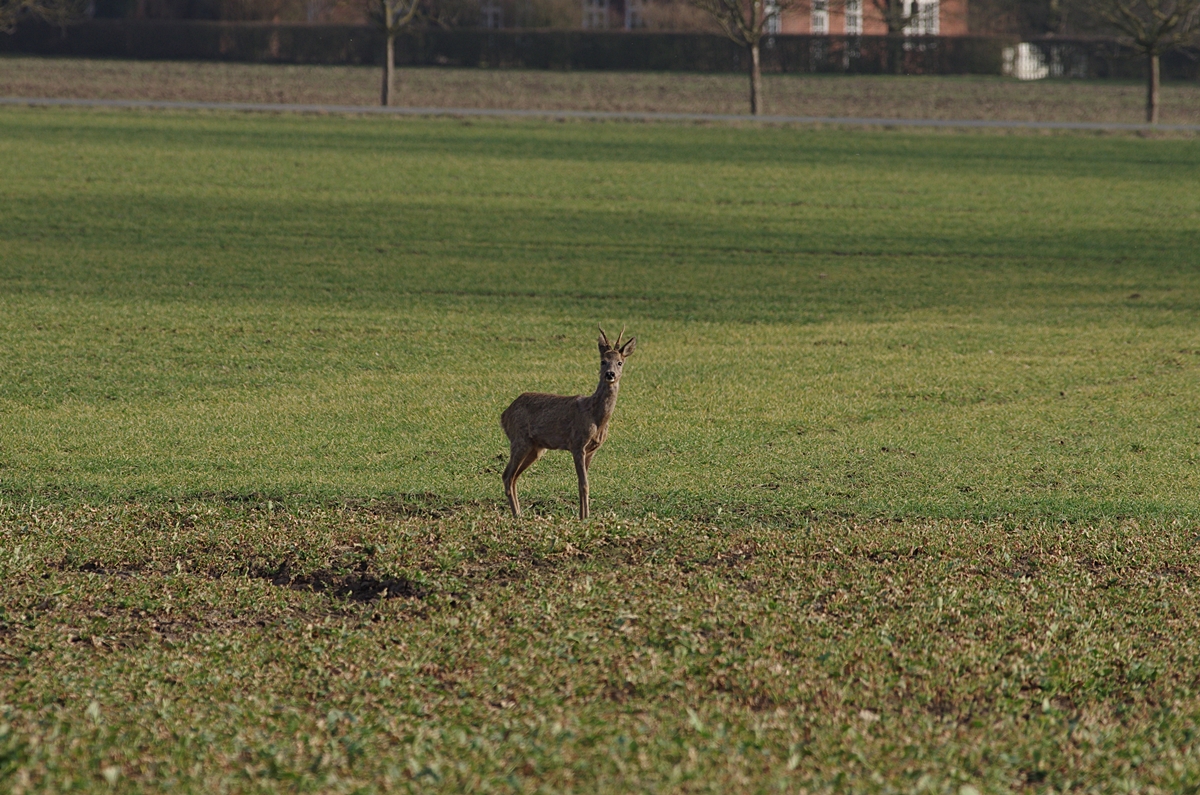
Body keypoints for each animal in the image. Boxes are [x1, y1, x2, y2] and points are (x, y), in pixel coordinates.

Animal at [501, 326, 638, 521]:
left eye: (620, 362)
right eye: (603, 361)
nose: (610, 374)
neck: (596, 417)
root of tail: (504, 415)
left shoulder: (592, 450)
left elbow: (584, 484)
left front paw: (584, 517)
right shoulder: (577, 443)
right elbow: (584, 484)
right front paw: (584, 518)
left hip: (535, 448)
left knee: (514, 477)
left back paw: (519, 514)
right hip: (519, 440)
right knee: (507, 475)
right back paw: (516, 516)